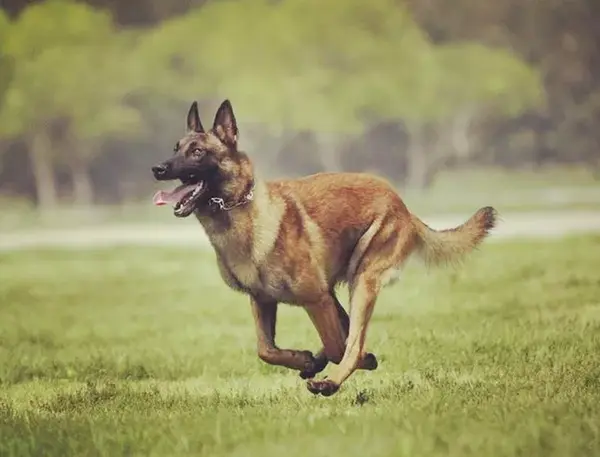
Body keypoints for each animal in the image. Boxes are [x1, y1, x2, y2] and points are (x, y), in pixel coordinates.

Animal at [151, 100, 496, 396]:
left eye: (197, 152)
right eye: (175, 149)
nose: (157, 168)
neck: (239, 213)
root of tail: (403, 206)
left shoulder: (315, 299)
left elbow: (339, 346)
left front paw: (342, 362)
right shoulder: (263, 300)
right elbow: (265, 350)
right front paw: (304, 359)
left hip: (362, 281)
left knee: (352, 342)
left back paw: (331, 381)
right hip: (339, 289)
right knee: (345, 332)